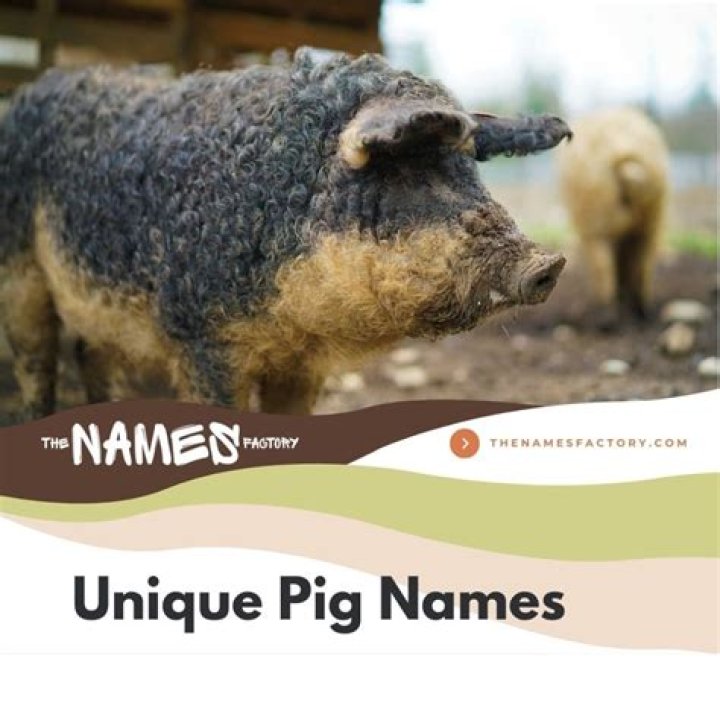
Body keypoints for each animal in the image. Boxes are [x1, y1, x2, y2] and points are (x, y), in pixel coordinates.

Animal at [0, 50, 570, 418]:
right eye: (406, 169)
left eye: (471, 169)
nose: (549, 264)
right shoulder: (200, 337)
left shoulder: (303, 362)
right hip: (19, 277)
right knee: (36, 362)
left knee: (87, 353)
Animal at [557, 108, 669, 326]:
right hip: (654, 215)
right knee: (644, 262)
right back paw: (643, 314)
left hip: (596, 217)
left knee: (603, 264)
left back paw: (606, 319)